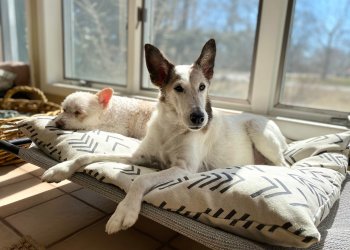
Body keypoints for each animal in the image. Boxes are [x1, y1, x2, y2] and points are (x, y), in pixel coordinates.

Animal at [41, 38, 288, 234]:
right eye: (178, 88)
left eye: (202, 87)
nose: (200, 118)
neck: (172, 127)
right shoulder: (138, 157)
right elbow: (87, 156)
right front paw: (60, 169)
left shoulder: (183, 168)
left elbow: (141, 179)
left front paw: (125, 211)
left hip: (260, 132)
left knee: (285, 165)